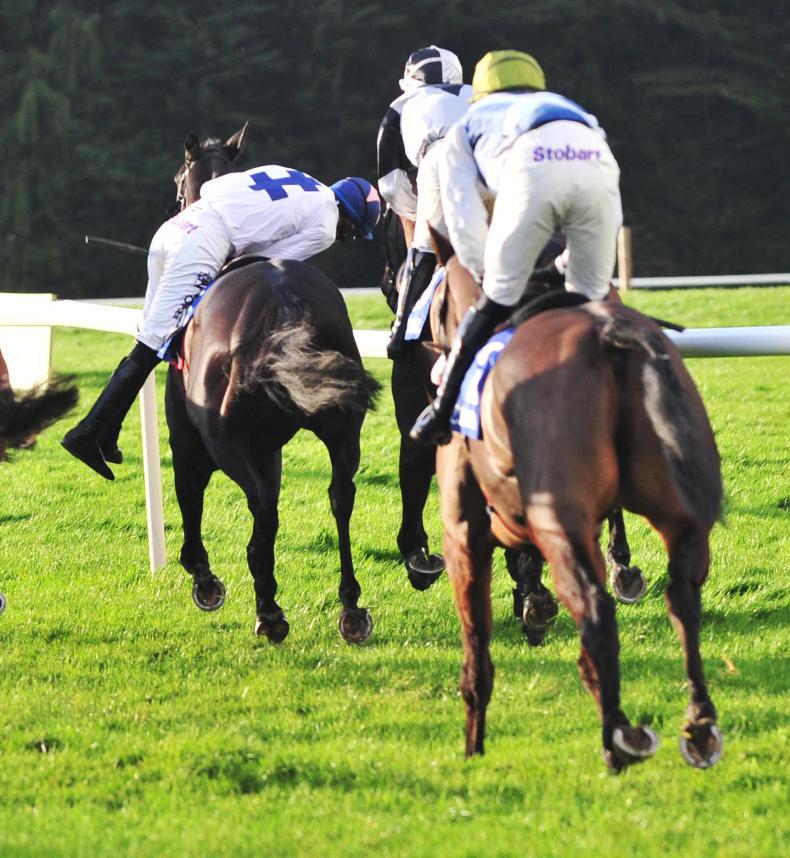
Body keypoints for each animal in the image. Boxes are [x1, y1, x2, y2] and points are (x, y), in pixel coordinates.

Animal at [164, 129, 380, 642]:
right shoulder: (273, 447)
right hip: (343, 429)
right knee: (341, 496)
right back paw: (351, 608)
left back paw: (269, 610)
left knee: (261, 507)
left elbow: (190, 491)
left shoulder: (190, 430)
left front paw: (203, 577)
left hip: (227, 441)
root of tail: (285, 305)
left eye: (178, 181)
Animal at [429, 236, 724, 771]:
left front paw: (473, 747)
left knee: (595, 611)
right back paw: (698, 725)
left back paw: (616, 741)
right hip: (681, 520)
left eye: (436, 297)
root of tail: (612, 341)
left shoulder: (463, 533)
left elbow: (477, 650)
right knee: (683, 601)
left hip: (557, 525)